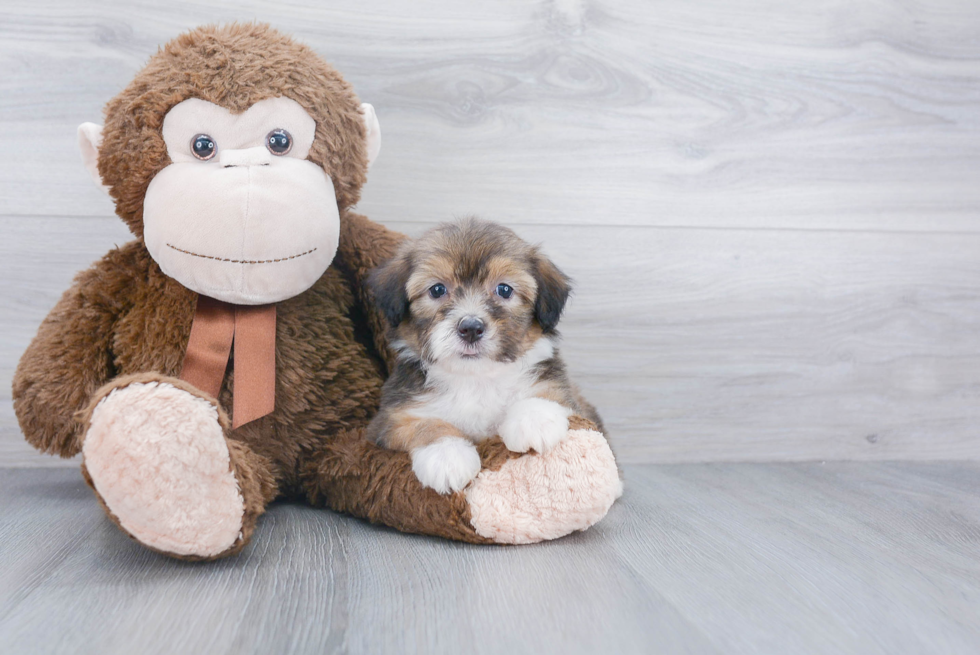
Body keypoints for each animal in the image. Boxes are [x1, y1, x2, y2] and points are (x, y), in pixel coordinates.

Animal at [366, 218, 600, 494]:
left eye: (504, 289)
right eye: (437, 289)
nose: (470, 328)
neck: (476, 379)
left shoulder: (570, 399)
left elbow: (548, 393)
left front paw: (533, 420)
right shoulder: (387, 420)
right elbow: (423, 424)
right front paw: (446, 455)